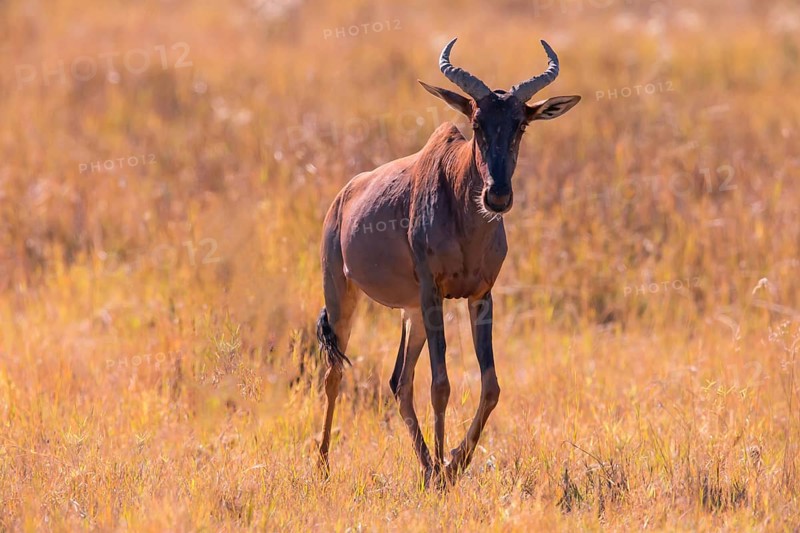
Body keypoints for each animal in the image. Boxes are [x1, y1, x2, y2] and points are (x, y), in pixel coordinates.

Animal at [316, 37, 580, 485]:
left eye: (521, 124)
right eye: (476, 123)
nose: (497, 196)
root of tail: (344, 195)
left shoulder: (481, 296)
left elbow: (490, 386)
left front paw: (453, 463)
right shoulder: (433, 292)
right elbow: (441, 384)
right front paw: (445, 470)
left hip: (412, 312)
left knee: (399, 382)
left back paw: (426, 465)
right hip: (345, 296)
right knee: (334, 373)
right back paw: (323, 465)